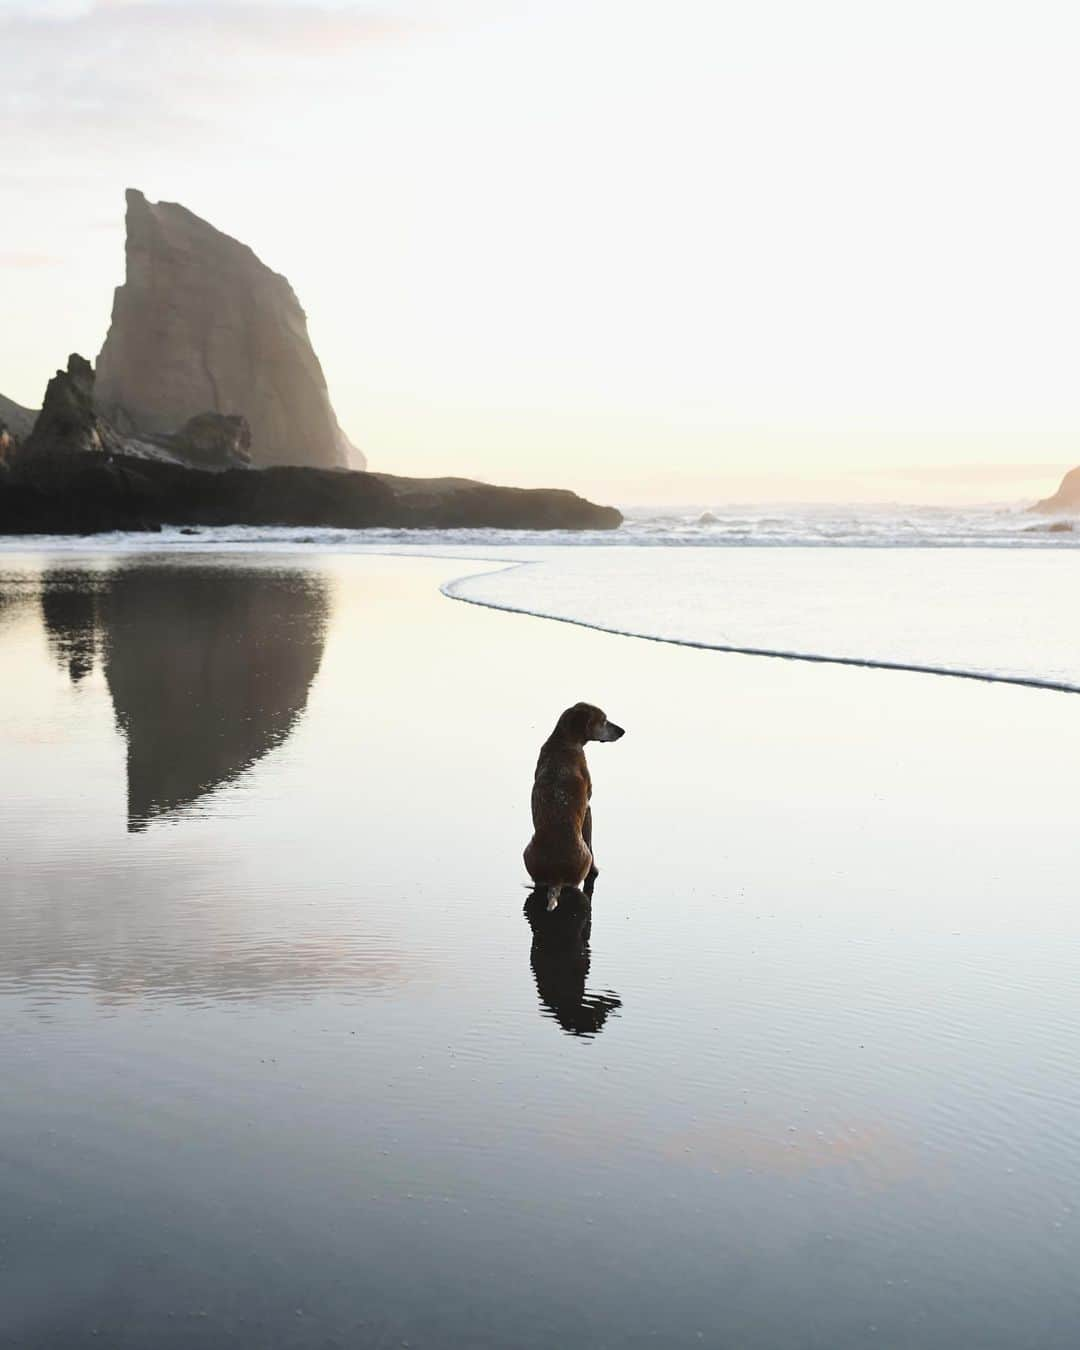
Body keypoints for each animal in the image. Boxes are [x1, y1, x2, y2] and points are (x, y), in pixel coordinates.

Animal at [523, 702, 623, 912]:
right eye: (604, 720)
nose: (623, 731)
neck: (563, 743)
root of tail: (556, 877)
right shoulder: (589, 808)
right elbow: (592, 843)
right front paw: (596, 871)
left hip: (527, 851)